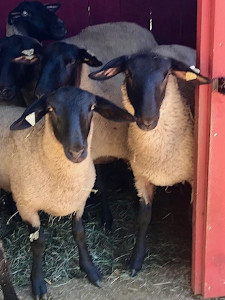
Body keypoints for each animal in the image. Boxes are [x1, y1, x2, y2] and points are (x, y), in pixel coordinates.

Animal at [0, 85, 134, 298]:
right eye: (51, 109)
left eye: (92, 107)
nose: (77, 152)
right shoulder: (28, 206)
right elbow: (38, 244)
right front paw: (38, 283)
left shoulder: (78, 201)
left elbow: (79, 233)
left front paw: (90, 270)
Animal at [88, 50, 211, 276]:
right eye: (128, 74)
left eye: (166, 74)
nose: (147, 120)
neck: (158, 152)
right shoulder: (142, 176)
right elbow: (143, 218)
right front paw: (135, 261)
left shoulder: (193, 178)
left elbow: (193, 214)